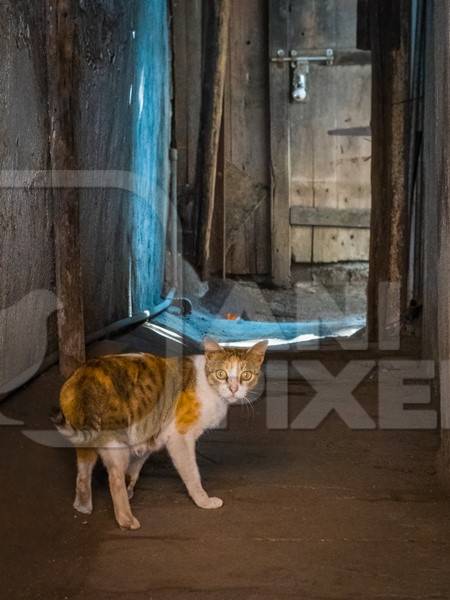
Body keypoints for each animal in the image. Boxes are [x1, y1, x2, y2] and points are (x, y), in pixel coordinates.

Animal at [55, 338, 268, 528]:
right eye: (221, 374)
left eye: (246, 375)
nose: (233, 389)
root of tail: (85, 375)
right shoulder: (179, 437)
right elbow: (191, 472)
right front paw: (203, 501)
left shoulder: (150, 434)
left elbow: (136, 466)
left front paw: (131, 485)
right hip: (116, 440)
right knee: (114, 477)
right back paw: (127, 520)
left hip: (88, 440)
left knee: (83, 473)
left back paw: (83, 506)